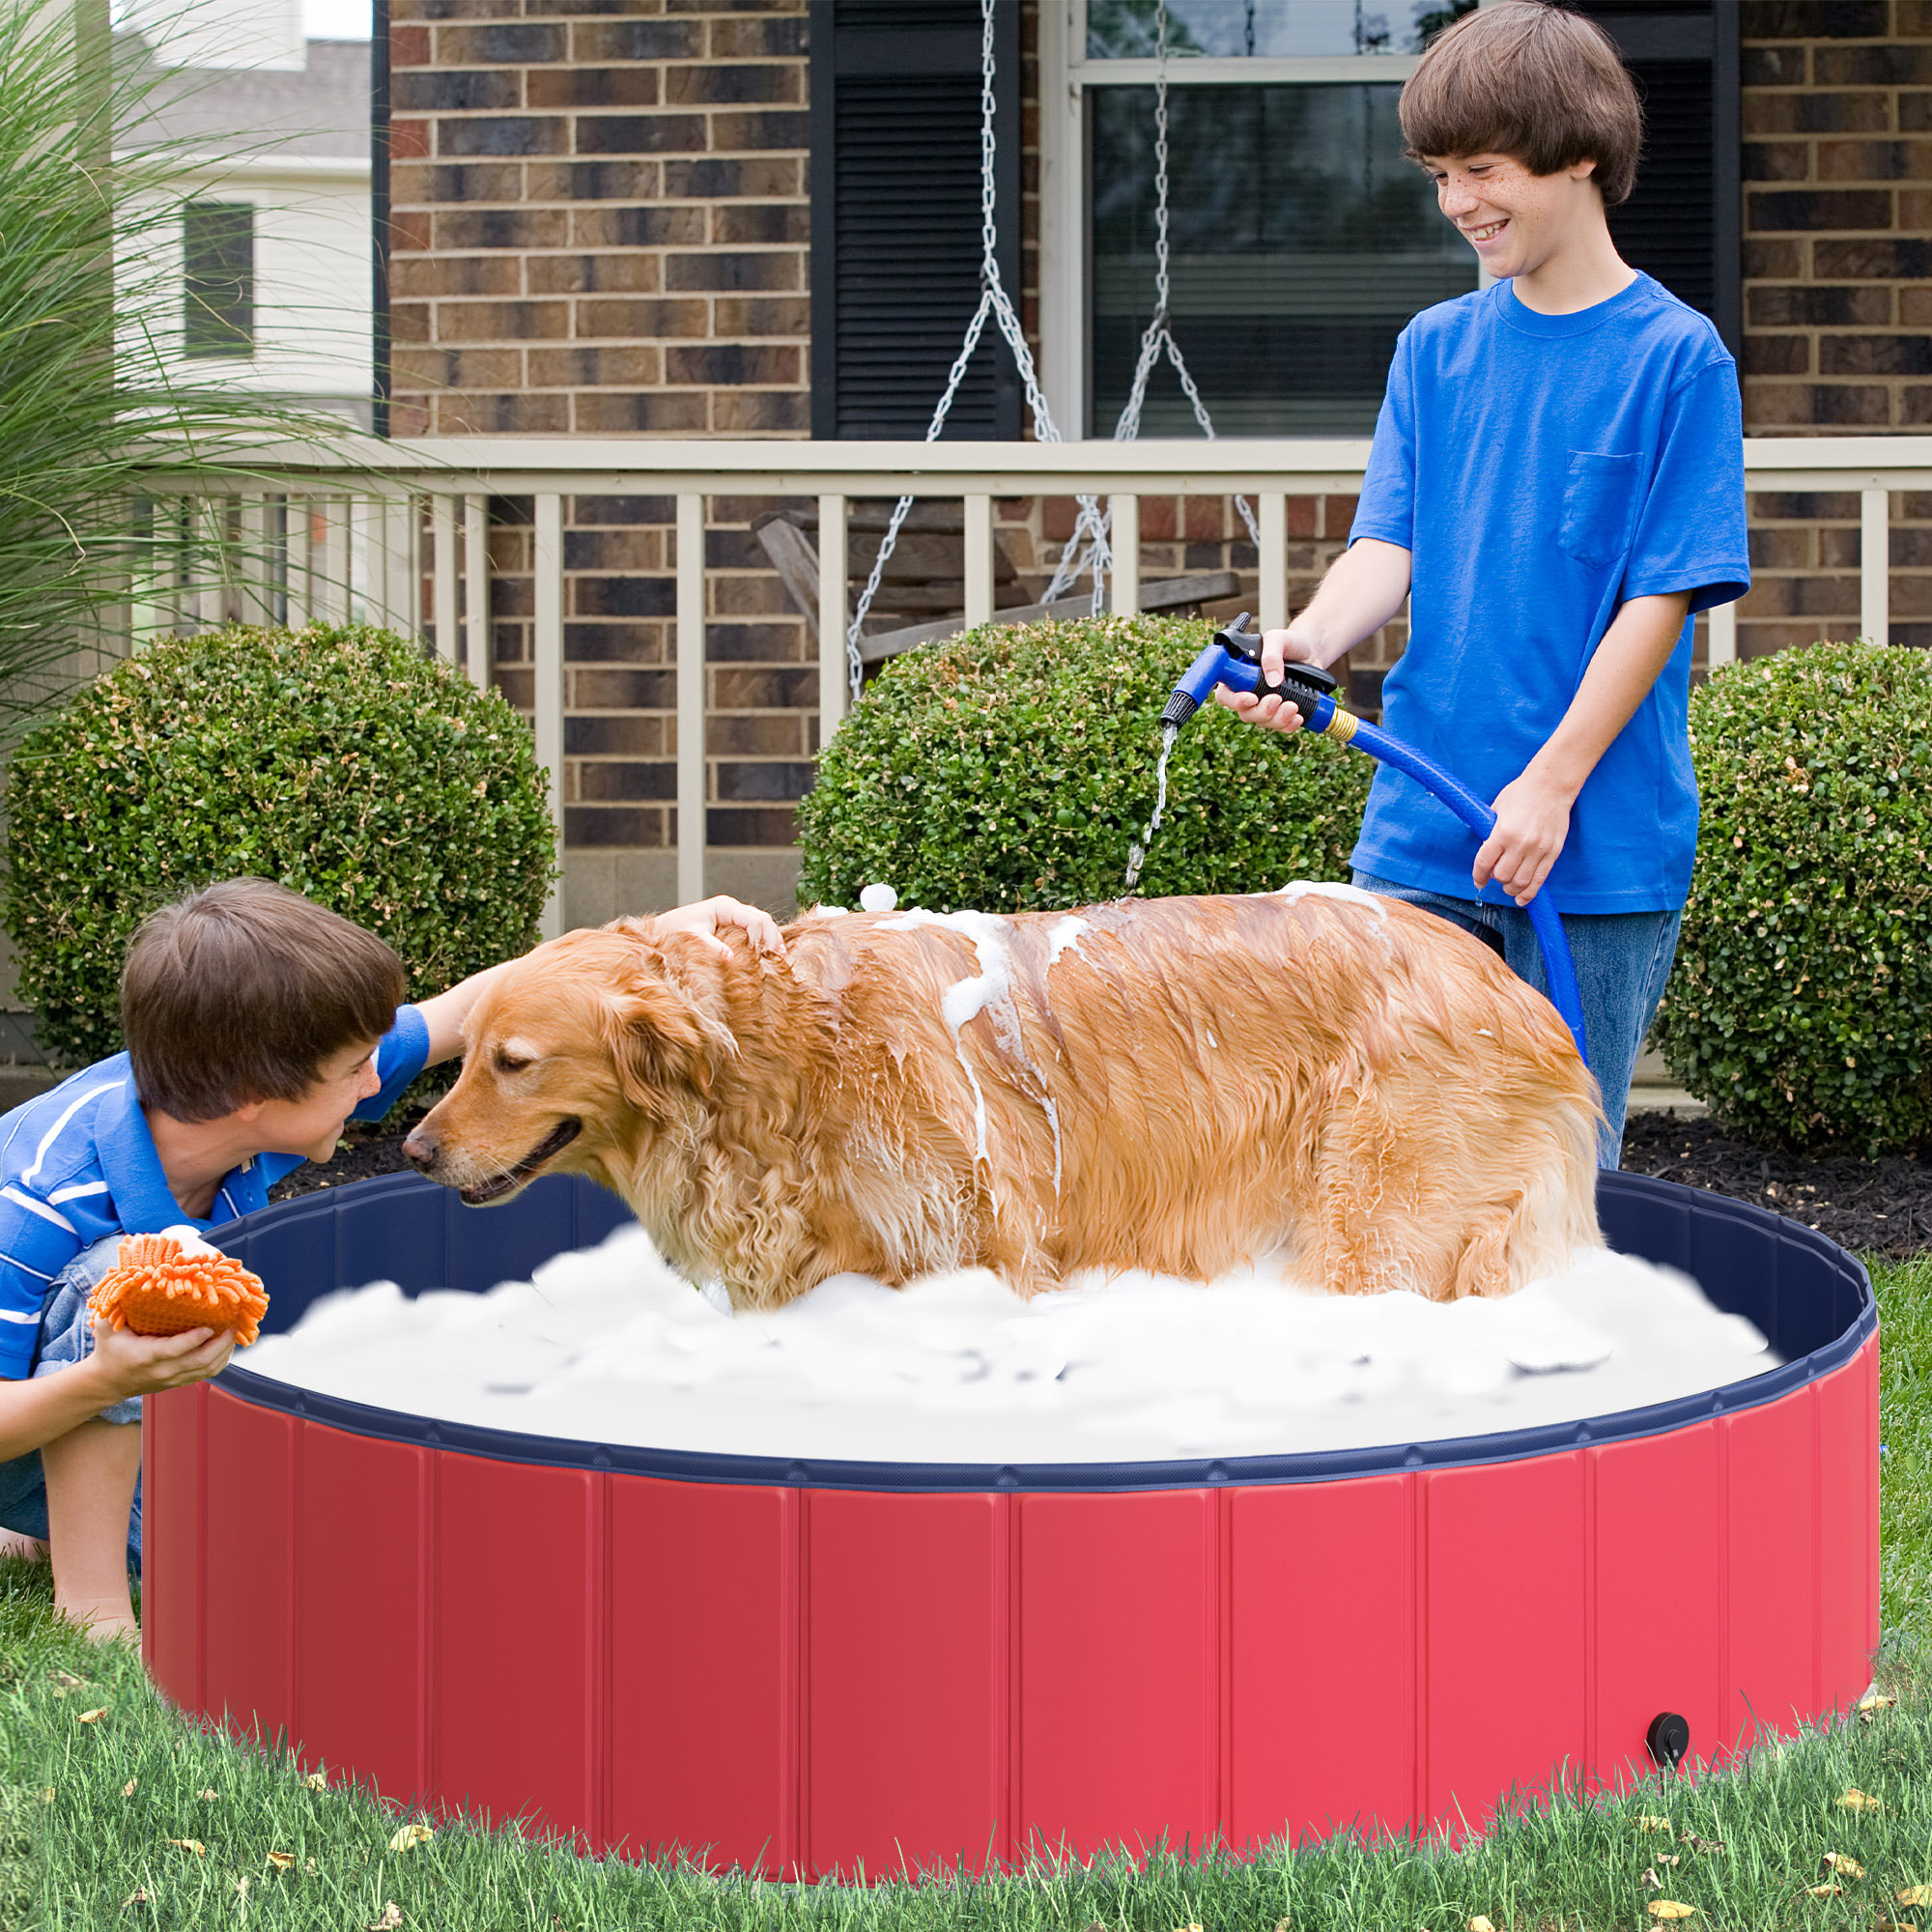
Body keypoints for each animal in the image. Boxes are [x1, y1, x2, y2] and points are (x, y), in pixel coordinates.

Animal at [404, 889, 1600, 1314]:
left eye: (513, 1061)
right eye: (466, 1057)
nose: (411, 1149)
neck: (788, 1052)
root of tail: (1514, 987)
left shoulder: (974, 1248)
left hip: (1377, 1222)